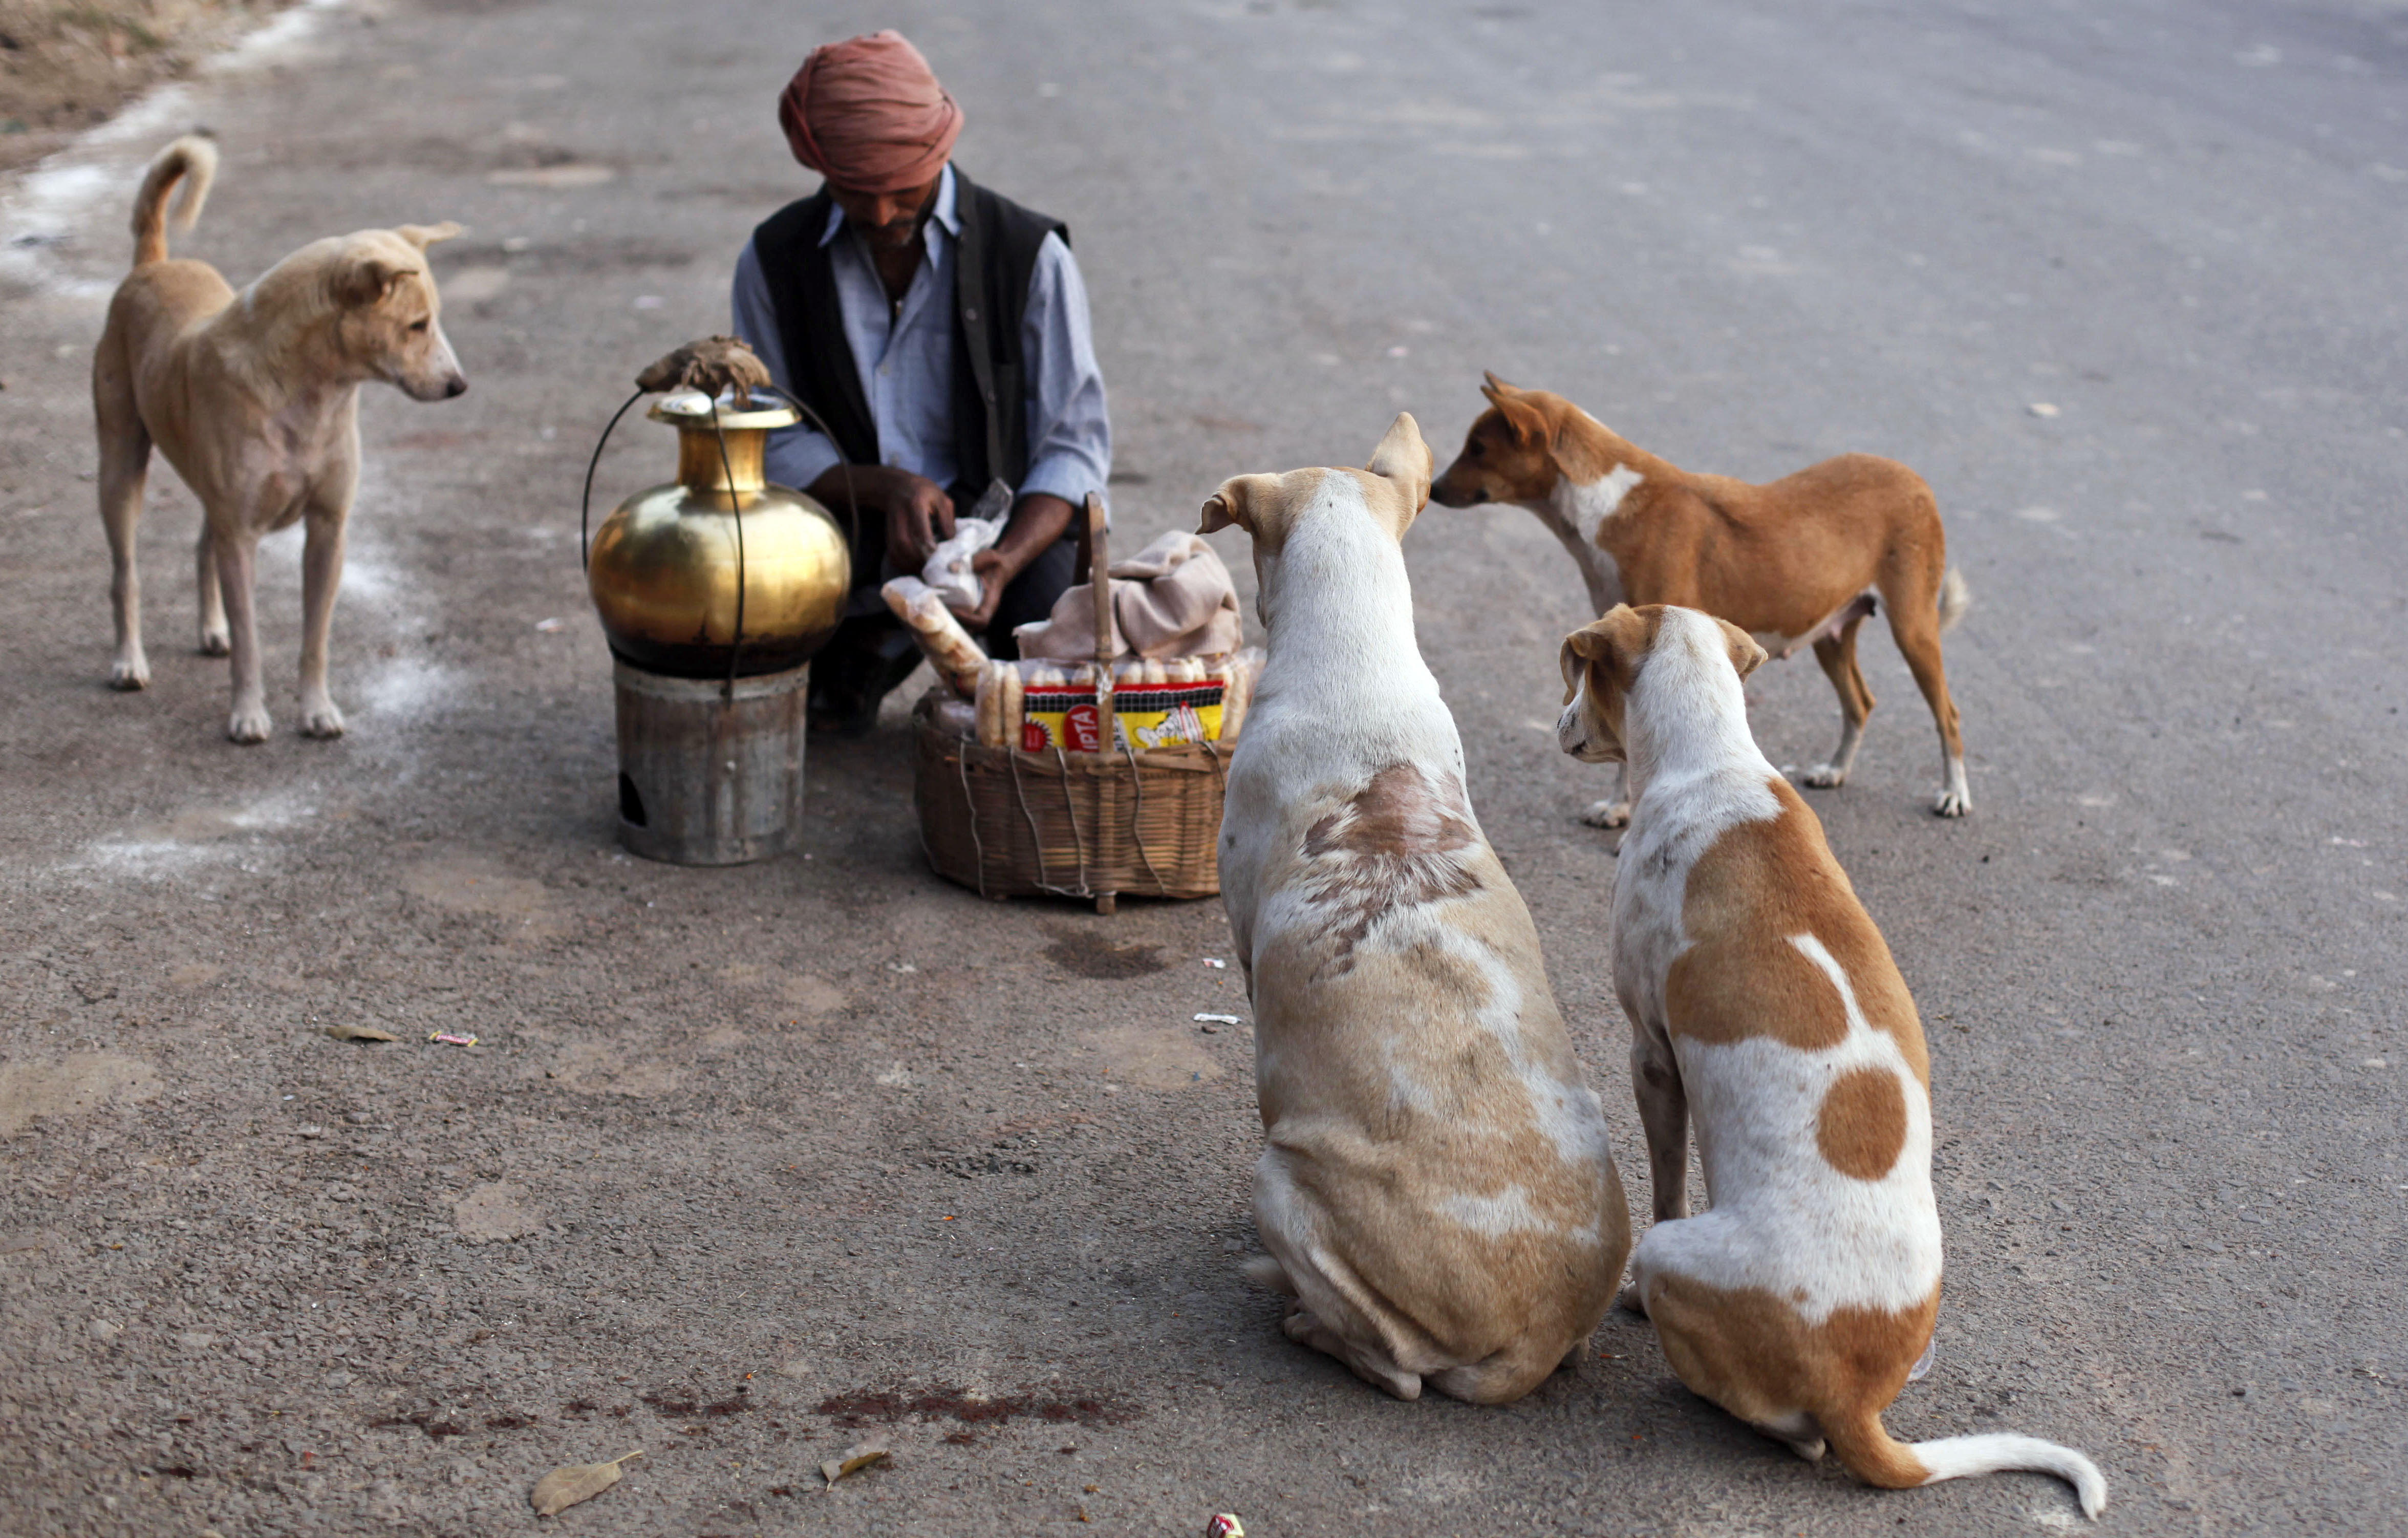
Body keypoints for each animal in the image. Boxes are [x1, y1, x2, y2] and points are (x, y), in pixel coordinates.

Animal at [91, 135, 464, 751]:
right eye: (417, 325)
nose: (460, 386)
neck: (308, 393)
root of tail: (154, 264)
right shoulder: (241, 537)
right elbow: (252, 643)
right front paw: (247, 716)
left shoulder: (328, 529)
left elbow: (315, 639)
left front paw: (317, 711)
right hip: (120, 470)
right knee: (125, 576)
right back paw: (128, 661)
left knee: (201, 548)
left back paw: (210, 630)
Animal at [1425, 375, 1974, 823]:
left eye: (1478, 448)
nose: (1433, 489)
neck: (1610, 506)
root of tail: (1914, 476)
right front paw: (1619, 807)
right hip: (1831, 634)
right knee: (1860, 702)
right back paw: (1835, 770)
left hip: (1913, 630)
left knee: (1947, 715)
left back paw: (1954, 796)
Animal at [1560, 599, 2109, 1521]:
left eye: (1577, 673)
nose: (1560, 723)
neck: (1711, 761)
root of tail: (1854, 1399)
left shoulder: (1651, 1054)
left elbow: (1667, 1177)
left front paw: (1627, 1301)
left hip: (1674, 1254)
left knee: (1795, 1432)